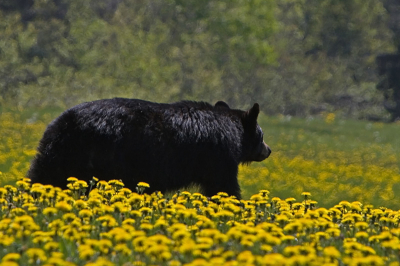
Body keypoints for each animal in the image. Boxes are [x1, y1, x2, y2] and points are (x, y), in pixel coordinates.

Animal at [28, 97, 270, 197]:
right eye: (261, 134)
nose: (268, 150)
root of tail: (64, 124)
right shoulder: (219, 157)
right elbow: (223, 185)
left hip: (59, 154)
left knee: (43, 174)